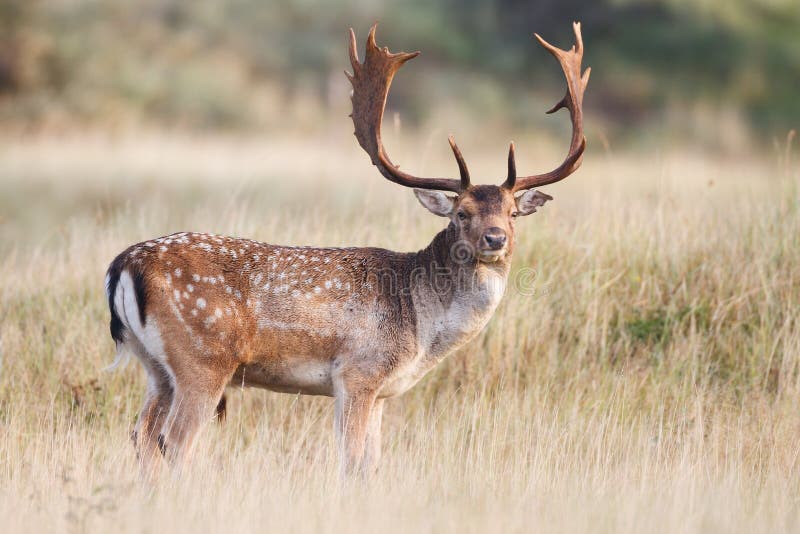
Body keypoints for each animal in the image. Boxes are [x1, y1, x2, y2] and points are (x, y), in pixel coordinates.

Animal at [106, 22, 592, 482]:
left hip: (156, 367)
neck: (420, 324)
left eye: (512, 212)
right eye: (462, 213)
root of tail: (124, 264)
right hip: (203, 357)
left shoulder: (381, 393)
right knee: (175, 442)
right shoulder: (359, 372)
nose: (495, 239)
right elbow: (353, 463)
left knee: (141, 435)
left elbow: (372, 465)